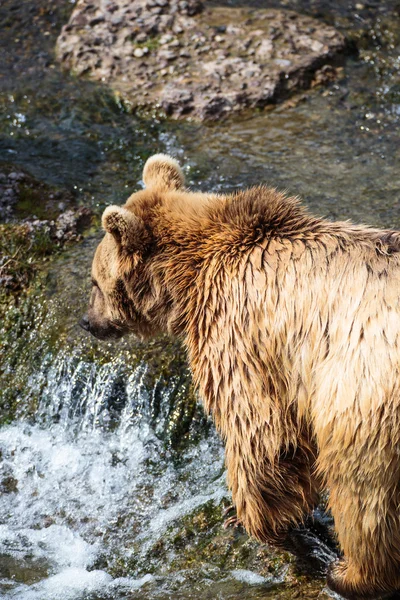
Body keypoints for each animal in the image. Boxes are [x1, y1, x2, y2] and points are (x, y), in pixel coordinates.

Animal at [81, 154, 400, 600]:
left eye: (95, 281)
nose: (87, 322)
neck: (189, 277)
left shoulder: (241, 333)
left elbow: (261, 435)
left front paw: (255, 520)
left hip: (361, 395)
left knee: (361, 489)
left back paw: (349, 573)